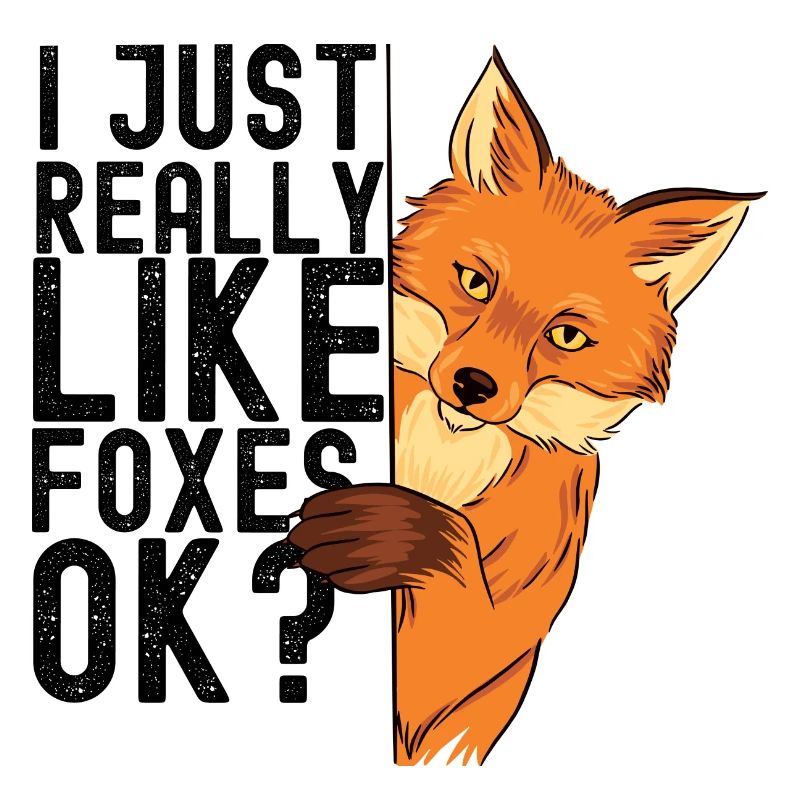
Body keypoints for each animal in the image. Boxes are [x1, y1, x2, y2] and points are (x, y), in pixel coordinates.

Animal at [288, 48, 764, 764]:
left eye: (566, 335)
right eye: (475, 282)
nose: (472, 385)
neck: (443, 464)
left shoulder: (474, 666)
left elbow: (453, 574)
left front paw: (392, 533)